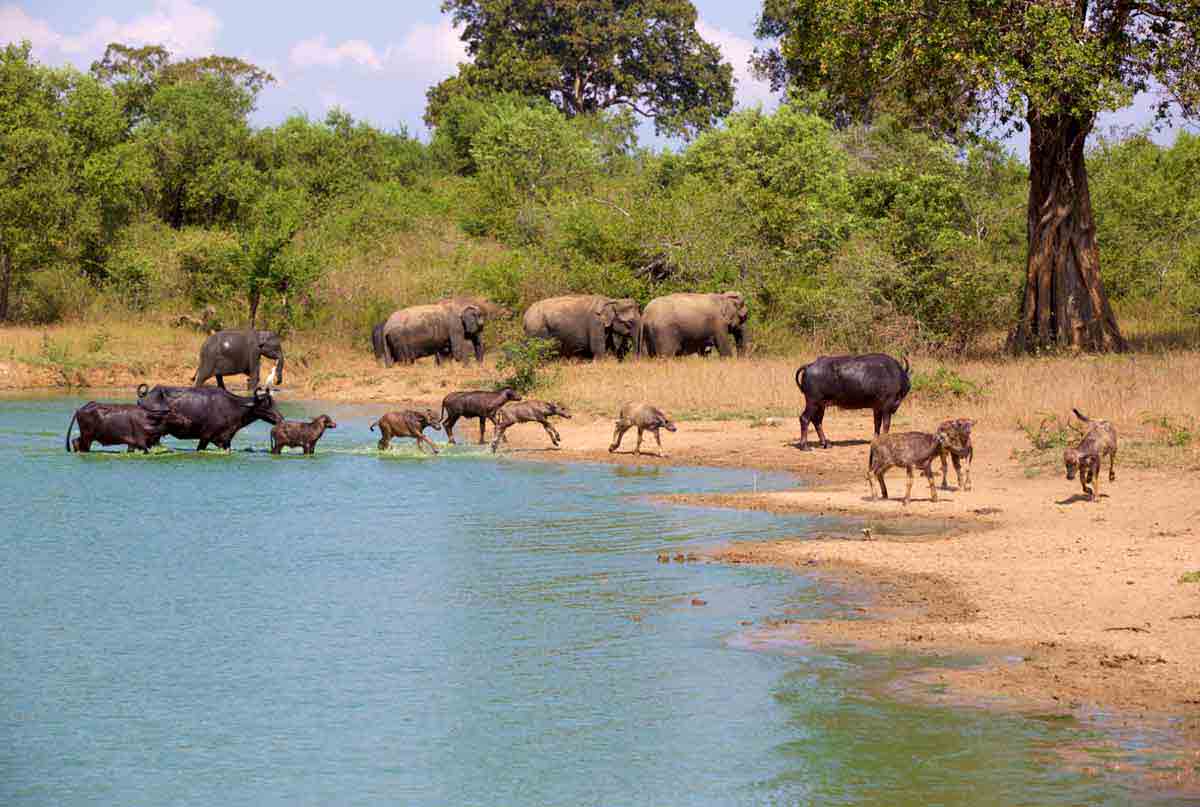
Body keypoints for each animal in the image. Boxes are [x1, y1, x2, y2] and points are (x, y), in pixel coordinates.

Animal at [137, 381, 282, 451]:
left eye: (273, 402)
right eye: (265, 405)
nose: (280, 419)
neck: (234, 407)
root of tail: (145, 397)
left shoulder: (225, 441)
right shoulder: (206, 437)